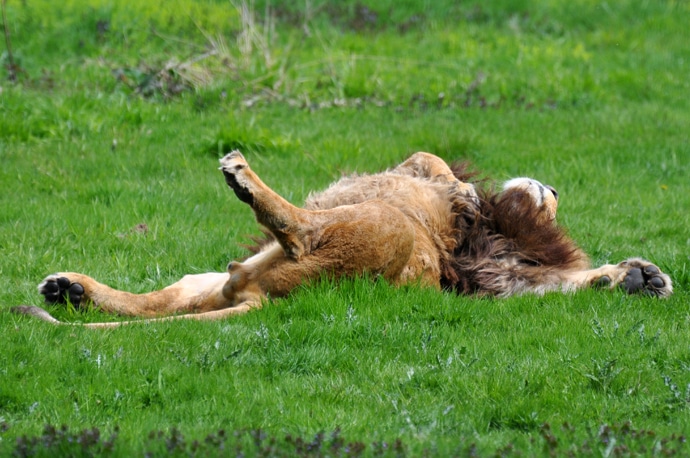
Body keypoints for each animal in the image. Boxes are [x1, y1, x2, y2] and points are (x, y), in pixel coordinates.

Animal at [10, 152, 668, 328]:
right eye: (553, 203)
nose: (553, 187)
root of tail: (257, 296)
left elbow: (432, 163)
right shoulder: (491, 267)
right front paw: (639, 278)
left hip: (376, 227)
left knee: (302, 229)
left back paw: (245, 177)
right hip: (205, 284)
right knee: (151, 305)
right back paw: (69, 290)